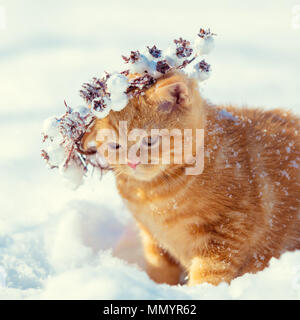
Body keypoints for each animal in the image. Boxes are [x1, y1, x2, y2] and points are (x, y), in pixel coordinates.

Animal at [81, 72, 300, 284]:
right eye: (115, 145)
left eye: (150, 140)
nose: (132, 162)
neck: (154, 195)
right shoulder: (153, 239)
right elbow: (160, 268)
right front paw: (158, 287)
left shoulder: (229, 229)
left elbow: (209, 273)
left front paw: (200, 291)